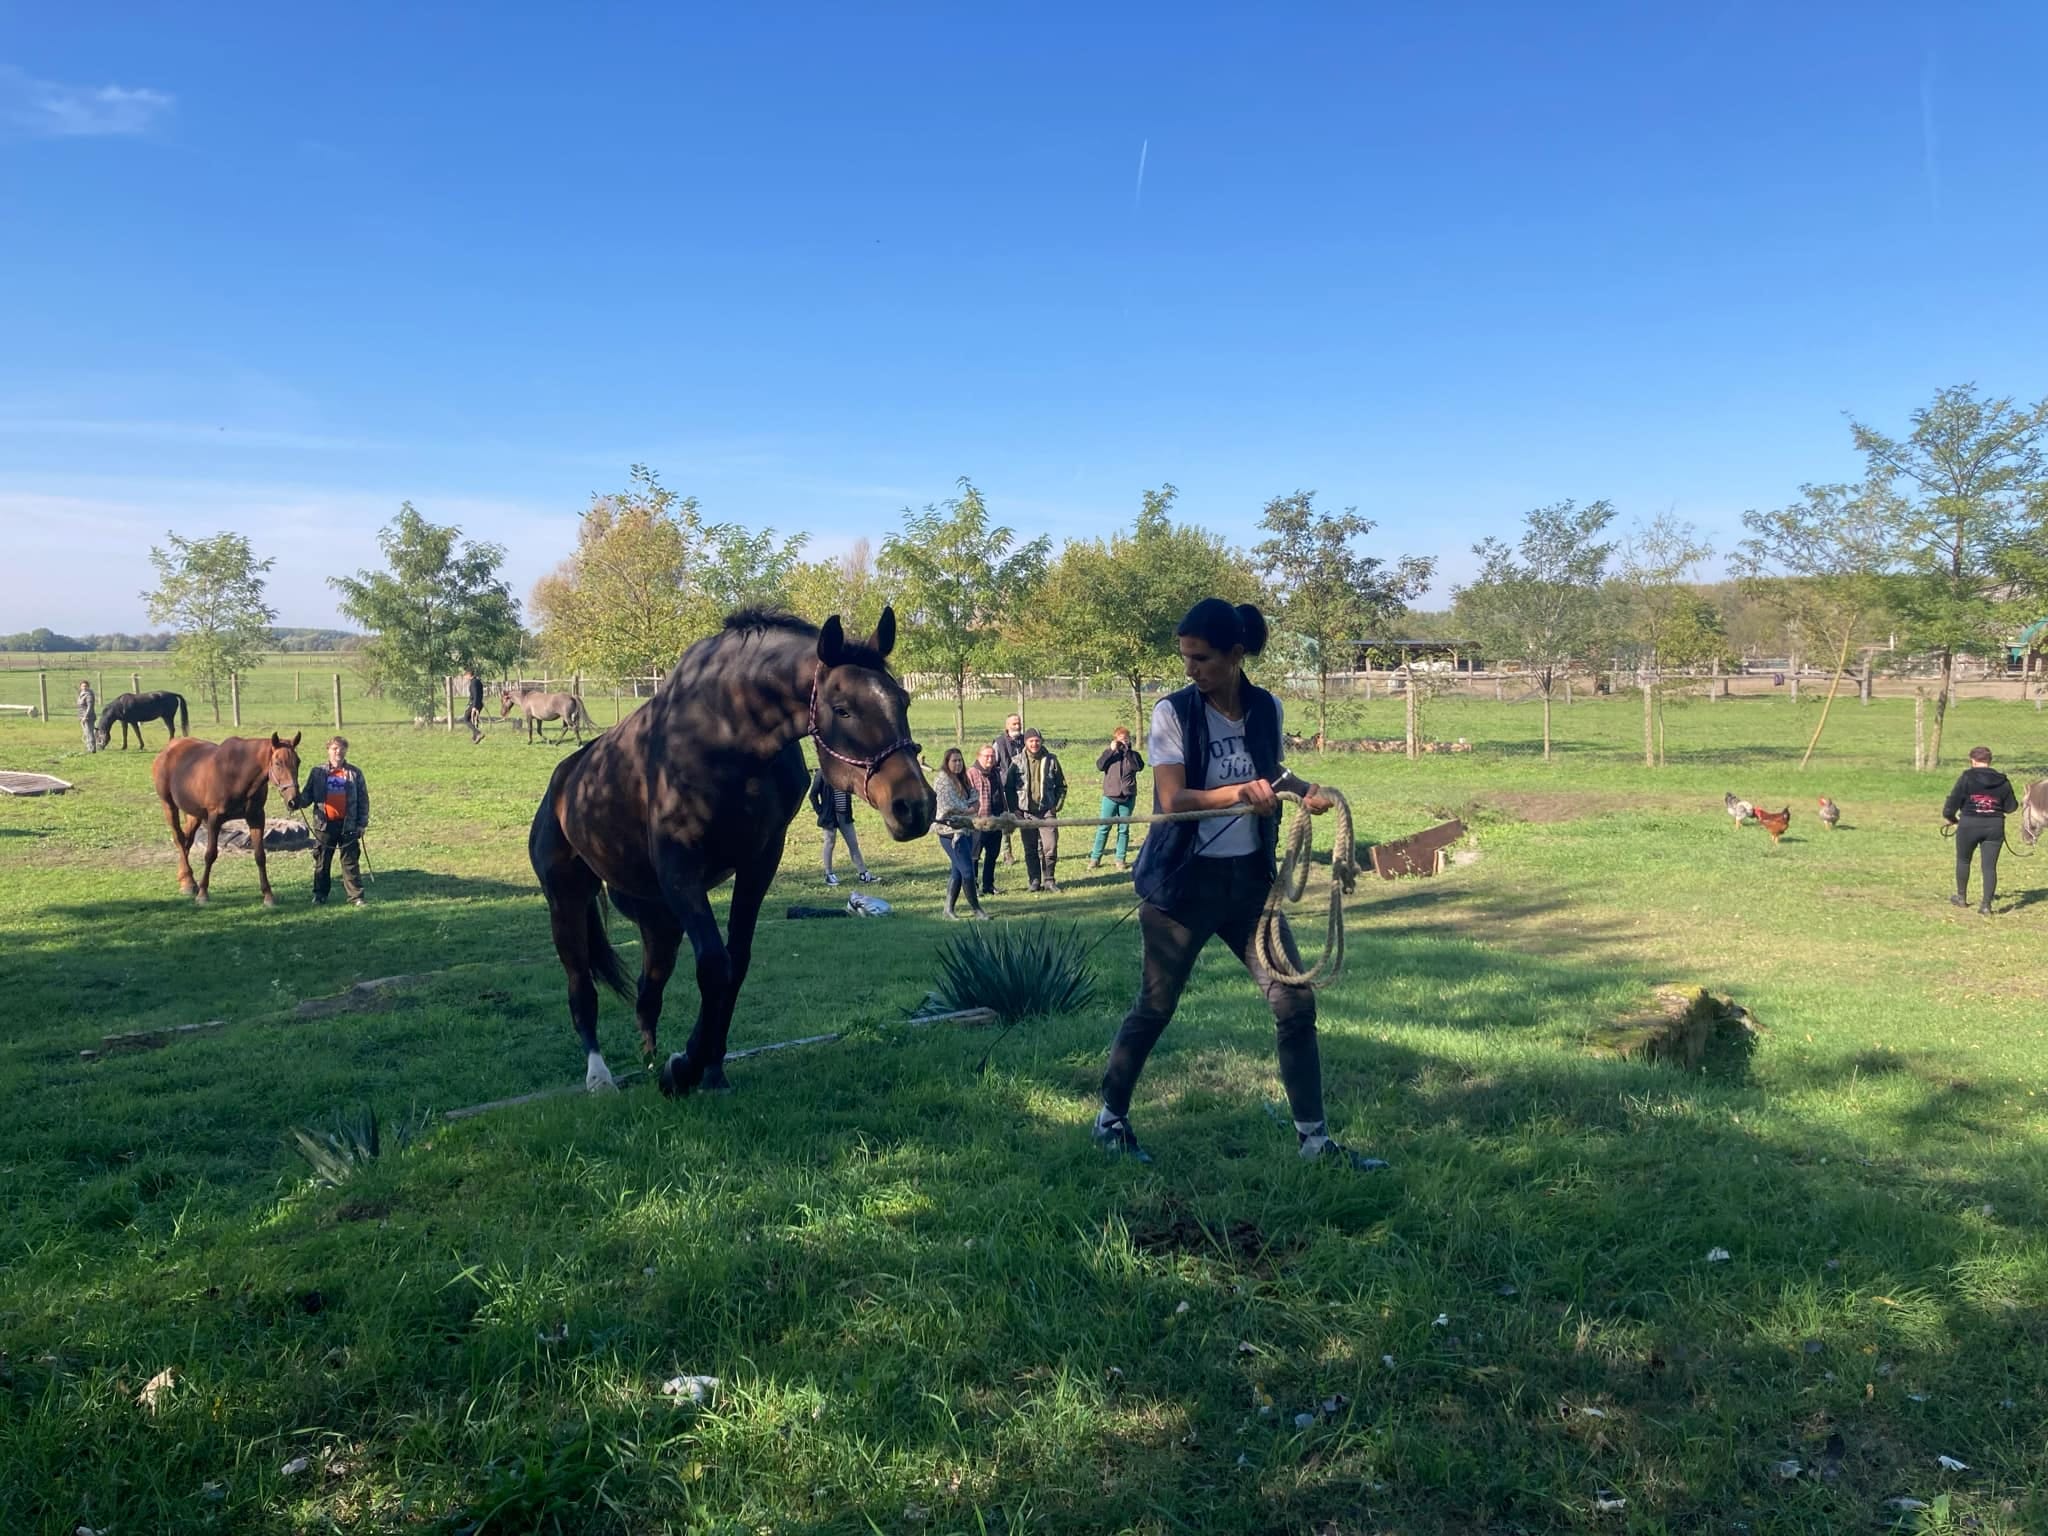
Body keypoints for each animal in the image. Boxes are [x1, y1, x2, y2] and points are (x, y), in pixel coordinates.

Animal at [151, 737, 303, 909]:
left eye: (298, 761)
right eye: (278, 763)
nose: (294, 801)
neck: (236, 773)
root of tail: (169, 747)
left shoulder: (256, 818)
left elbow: (260, 856)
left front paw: (268, 896)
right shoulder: (214, 819)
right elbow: (210, 855)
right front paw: (203, 894)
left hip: (194, 813)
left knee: (186, 841)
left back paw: (186, 881)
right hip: (168, 805)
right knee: (179, 839)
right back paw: (189, 882)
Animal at [532, 606, 937, 1097]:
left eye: (903, 701)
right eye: (843, 709)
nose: (915, 806)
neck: (724, 738)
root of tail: (564, 782)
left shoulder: (759, 861)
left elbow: (736, 964)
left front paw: (710, 1067)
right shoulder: (681, 870)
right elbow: (714, 965)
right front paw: (684, 1067)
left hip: (659, 920)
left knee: (649, 992)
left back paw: (649, 1060)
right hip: (567, 901)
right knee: (581, 989)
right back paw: (600, 1076)